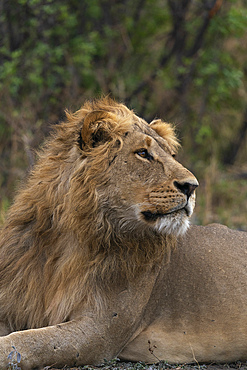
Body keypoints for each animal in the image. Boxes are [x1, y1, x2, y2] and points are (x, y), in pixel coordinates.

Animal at [0, 97, 247, 368]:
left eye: (171, 155)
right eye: (143, 153)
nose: (192, 186)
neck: (73, 236)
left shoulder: (100, 332)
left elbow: (31, 341)